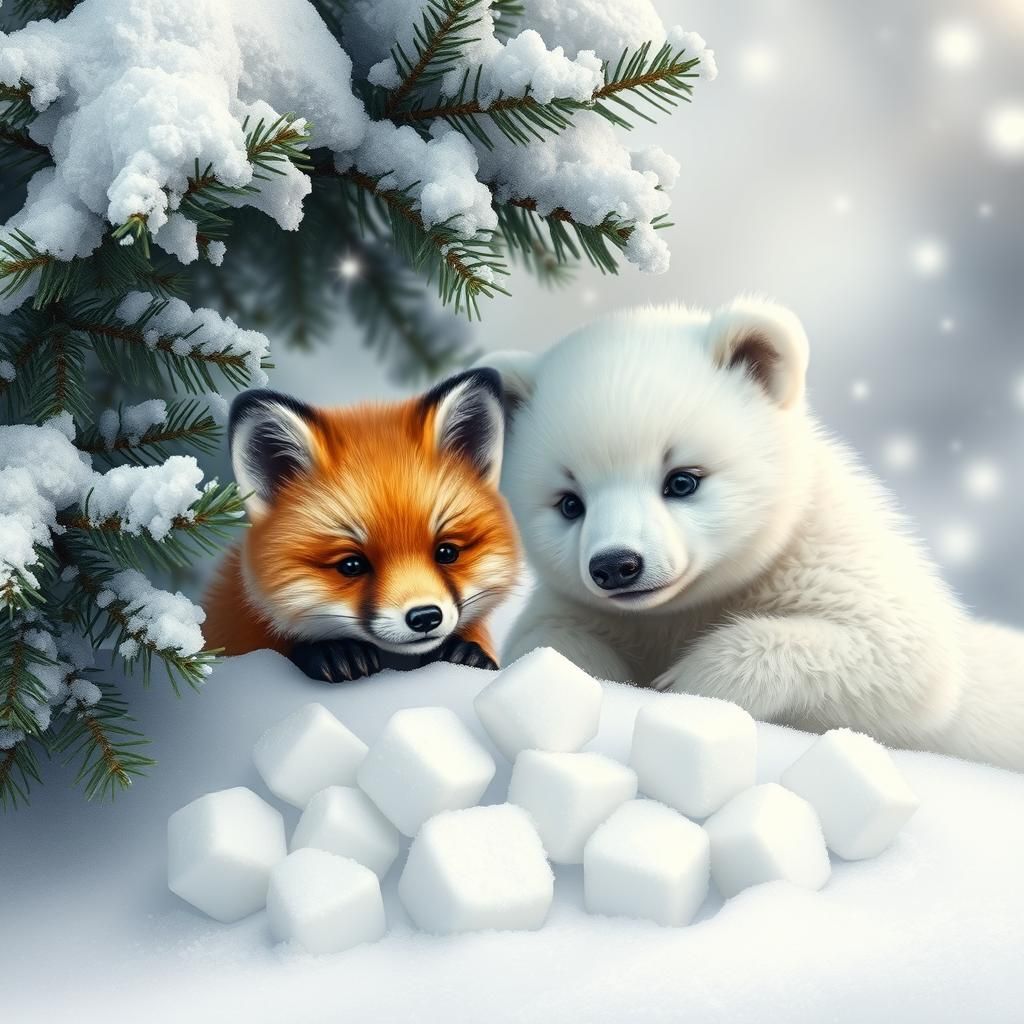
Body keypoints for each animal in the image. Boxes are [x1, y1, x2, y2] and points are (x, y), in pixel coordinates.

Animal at [481, 298, 1024, 771]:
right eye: (570, 502)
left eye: (682, 480)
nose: (616, 565)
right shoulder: (584, 607)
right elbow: (545, 638)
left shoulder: (830, 556)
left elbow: (905, 657)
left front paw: (691, 680)